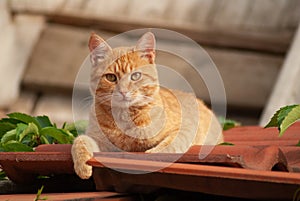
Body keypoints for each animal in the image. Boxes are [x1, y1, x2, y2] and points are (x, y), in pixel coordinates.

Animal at [71, 31, 223, 179]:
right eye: (110, 77)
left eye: (135, 76)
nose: (123, 91)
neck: (124, 118)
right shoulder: (98, 140)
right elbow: (80, 141)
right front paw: (82, 166)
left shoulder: (185, 128)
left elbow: (171, 145)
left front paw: (154, 154)